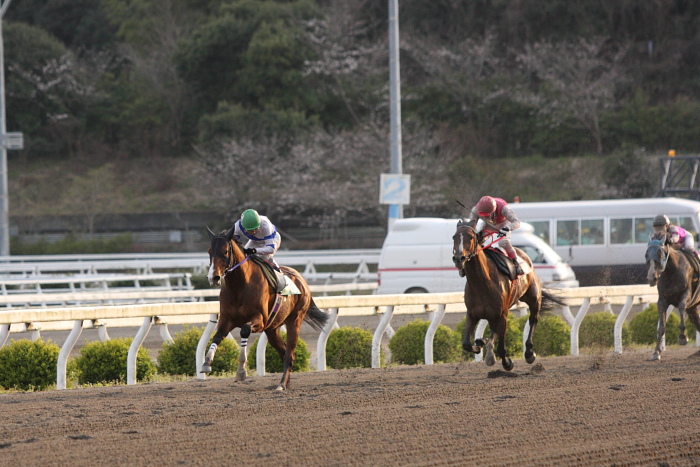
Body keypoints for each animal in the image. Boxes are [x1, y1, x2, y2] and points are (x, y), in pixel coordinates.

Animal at [202, 227, 328, 392]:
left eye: (225, 251)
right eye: (209, 251)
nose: (214, 277)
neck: (240, 286)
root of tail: (301, 279)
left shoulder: (260, 320)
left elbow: (244, 330)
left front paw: (241, 371)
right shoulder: (227, 319)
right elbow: (217, 336)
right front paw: (206, 363)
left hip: (294, 321)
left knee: (289, 354)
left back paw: (281, 385)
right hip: (272, 329)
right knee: (284, 352)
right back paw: (286, 383)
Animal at [644, 234, 700, 362]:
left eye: (660, 254)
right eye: (646, 254)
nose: (651, 278)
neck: (671, 272)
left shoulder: (686, 295)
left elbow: (681, 308)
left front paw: (683, 337)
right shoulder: (662, 300)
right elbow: (661, 327)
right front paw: (656, 352)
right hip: (693, 308)